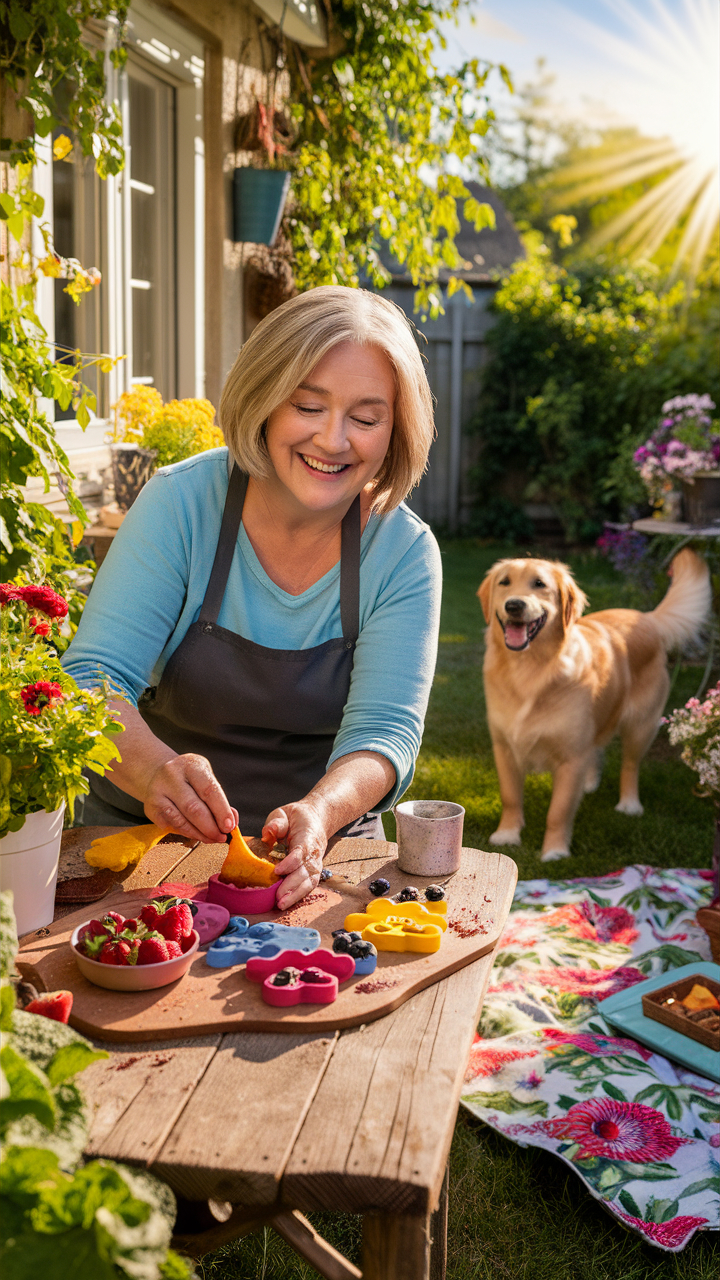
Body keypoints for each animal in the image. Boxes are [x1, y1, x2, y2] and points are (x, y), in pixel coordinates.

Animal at [476, 550, 707, 860]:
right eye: (504, 582)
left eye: (539, 584)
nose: (514, 605)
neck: (530, 670)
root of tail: (646, 617)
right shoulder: (504, 747)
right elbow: (511, 797)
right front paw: (507, 835)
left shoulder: (572, 754)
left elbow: (559, 811)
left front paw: (555, 851)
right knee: (597, 750)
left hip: (642, 725)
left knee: (630, 765)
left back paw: (629, 804)